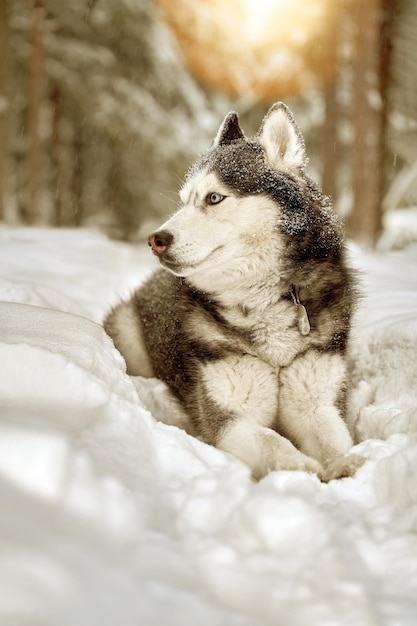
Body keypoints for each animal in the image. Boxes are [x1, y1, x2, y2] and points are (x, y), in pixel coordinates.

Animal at [105, 102, 362, 480]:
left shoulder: (315, 400)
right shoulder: (229, 419)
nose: (156, 239)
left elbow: (332, 438)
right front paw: (299, 467)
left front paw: (345, 463)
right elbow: (272, 441)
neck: (261, 298)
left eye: (214, 198)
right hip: (128, 332)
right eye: (184, 202)